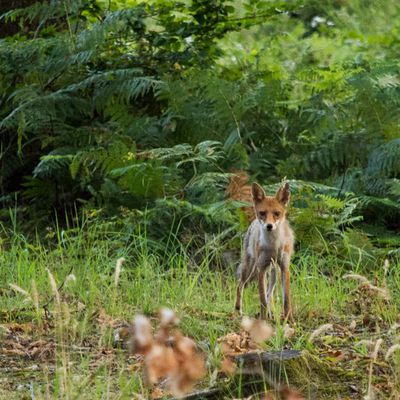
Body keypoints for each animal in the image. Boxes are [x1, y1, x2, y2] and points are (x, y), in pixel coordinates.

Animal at [234, 183, 294, 320]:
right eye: (262, 213)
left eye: (277, 213)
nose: (269, 226)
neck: (274, 245)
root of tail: (253, 223)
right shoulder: (261, 268)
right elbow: (262, 299)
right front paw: (263, 319)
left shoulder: (284, 268)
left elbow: (286, 299)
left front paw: (288, 319)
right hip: (249, 269)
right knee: (240, 286)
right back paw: (238, 310)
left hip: (274, 273)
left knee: (269, 294)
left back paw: (271, 313)